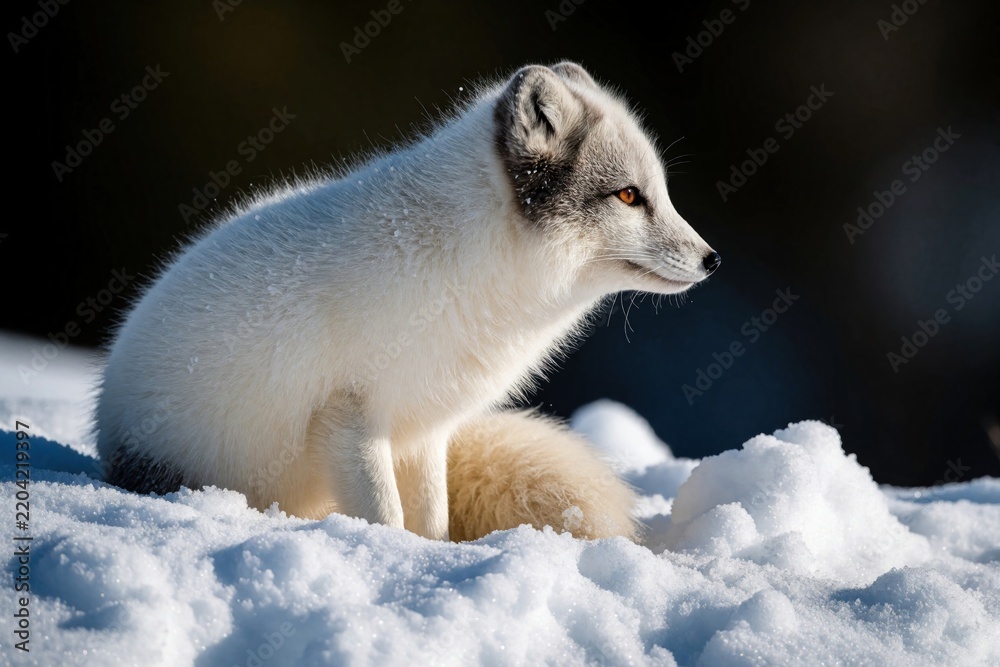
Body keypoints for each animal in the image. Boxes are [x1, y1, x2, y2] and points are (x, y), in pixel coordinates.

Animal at [94, 61, 720, 542]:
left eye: (657, 192)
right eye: (629, 196)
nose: (712, 260)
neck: (463, 268)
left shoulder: (425, 431)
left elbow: (433, 521)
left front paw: (429, 558)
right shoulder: (350, 417)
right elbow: (386, 514)